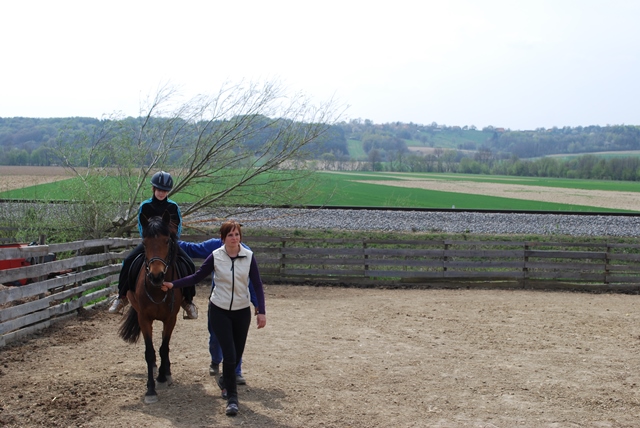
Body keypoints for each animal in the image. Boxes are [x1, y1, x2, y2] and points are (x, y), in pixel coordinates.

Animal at [118, 211, 182, 404]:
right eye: (144, 242)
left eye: (167, 241)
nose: (156, 276)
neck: (158, 290)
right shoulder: (144, 318)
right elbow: (150, 352)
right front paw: (151, 389)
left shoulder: (171, 319)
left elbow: (164, 348)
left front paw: (161, 377)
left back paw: (166, 372)